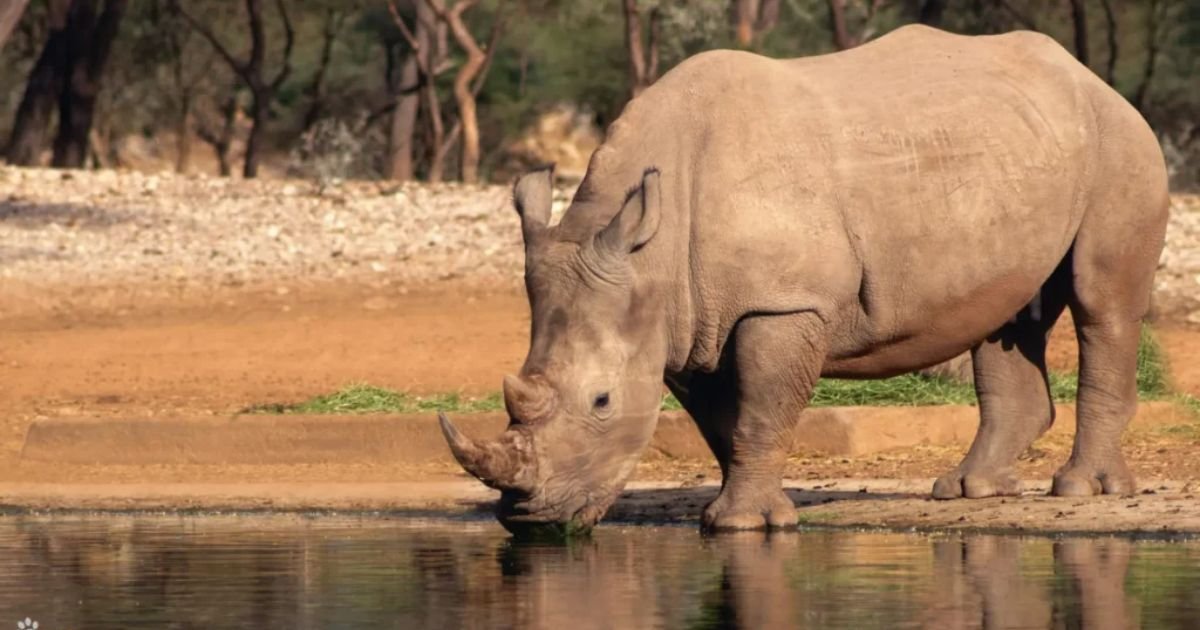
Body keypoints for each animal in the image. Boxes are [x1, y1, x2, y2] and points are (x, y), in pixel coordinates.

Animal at [439, 25, 1169, 534]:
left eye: (601, 402)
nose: (530, 519)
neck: (651, 255)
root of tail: (1089, 77)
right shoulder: (687, 325)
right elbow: (723, 420)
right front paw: (738, 510)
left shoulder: (782, 304)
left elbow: (763, 406)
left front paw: (744, 525)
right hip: (1016, 151)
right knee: (1006, 315)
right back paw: (969, 490)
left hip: (1122, 141)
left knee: (1103, 304)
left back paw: (1081, 490)